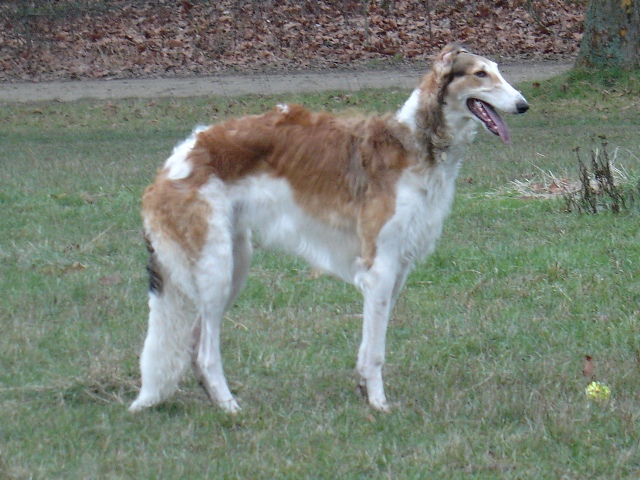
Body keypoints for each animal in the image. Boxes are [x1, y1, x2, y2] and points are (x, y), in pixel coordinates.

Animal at [131, 44, 528, 412]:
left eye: (498, 70)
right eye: (480, 74)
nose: (523, 105)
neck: (417, 144)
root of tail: (171, 165)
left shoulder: (398, 267)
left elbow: (370, 347)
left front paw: (365, 390)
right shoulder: (380, 267)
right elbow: (376, 350)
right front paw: (379, 404)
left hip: (234, 264)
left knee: (195, 344)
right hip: (214, 269)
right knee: (205, 352)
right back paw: (231, 408)